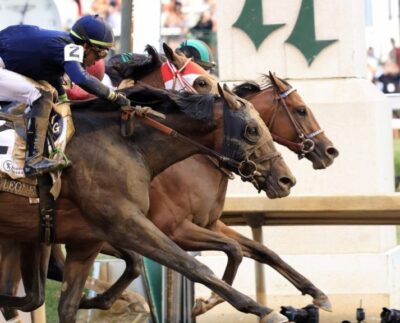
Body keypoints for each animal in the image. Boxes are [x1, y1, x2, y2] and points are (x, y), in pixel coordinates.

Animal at [0, 83, 294, 323]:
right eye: (252, 130)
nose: (286, 179)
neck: (126, 146)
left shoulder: (87, 240)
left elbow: (68, 305)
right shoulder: (132, 223)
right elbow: (195, 266)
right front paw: (262, 310)